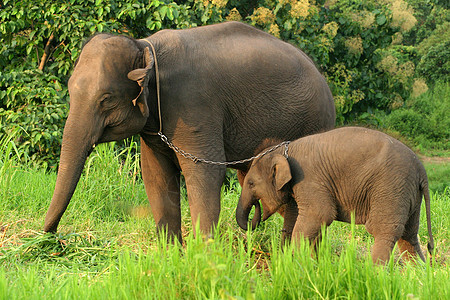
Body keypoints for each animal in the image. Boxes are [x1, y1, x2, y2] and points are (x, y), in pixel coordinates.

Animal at [44, 21, 334, 241]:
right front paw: (170, 255)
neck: (146, 46)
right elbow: (156, 176)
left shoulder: (193, 104)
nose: (50, 236)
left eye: (106, 99)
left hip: (311, 123)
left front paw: (205, 257)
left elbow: (204, 174)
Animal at [237, 126, 434, 262]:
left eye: (251, 183)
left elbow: (320, 215)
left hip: (391, 188)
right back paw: (420, 275)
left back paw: (374, 274)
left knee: (384, 231)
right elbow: (297, 217)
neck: (286, 149)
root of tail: (421, 169)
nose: (256, 208)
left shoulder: (309, 179)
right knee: (409, 235)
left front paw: (295, 263)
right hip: (408, 194)